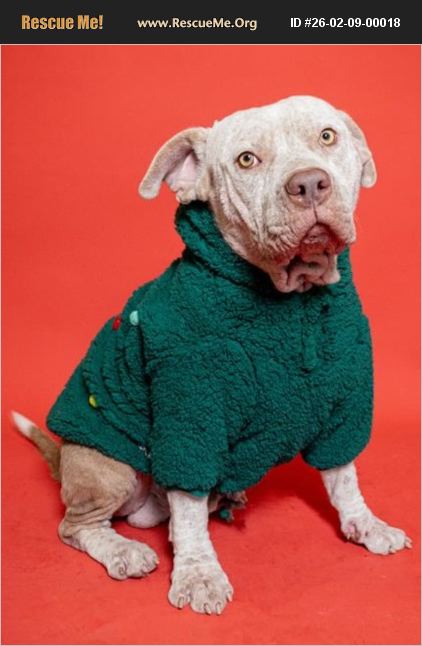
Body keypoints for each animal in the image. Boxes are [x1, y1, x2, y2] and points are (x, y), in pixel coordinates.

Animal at [13, 96, 411, 615]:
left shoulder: (344, 396)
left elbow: (343, 478)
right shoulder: (191, 407)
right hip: (107, 466)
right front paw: (199, 574)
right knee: (77, 526)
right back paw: (123, 549)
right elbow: (188, 512)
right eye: (246, 160)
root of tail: (64, 458)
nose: (309, 183)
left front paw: (366, 524)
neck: (292, 300)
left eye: (327, 136)